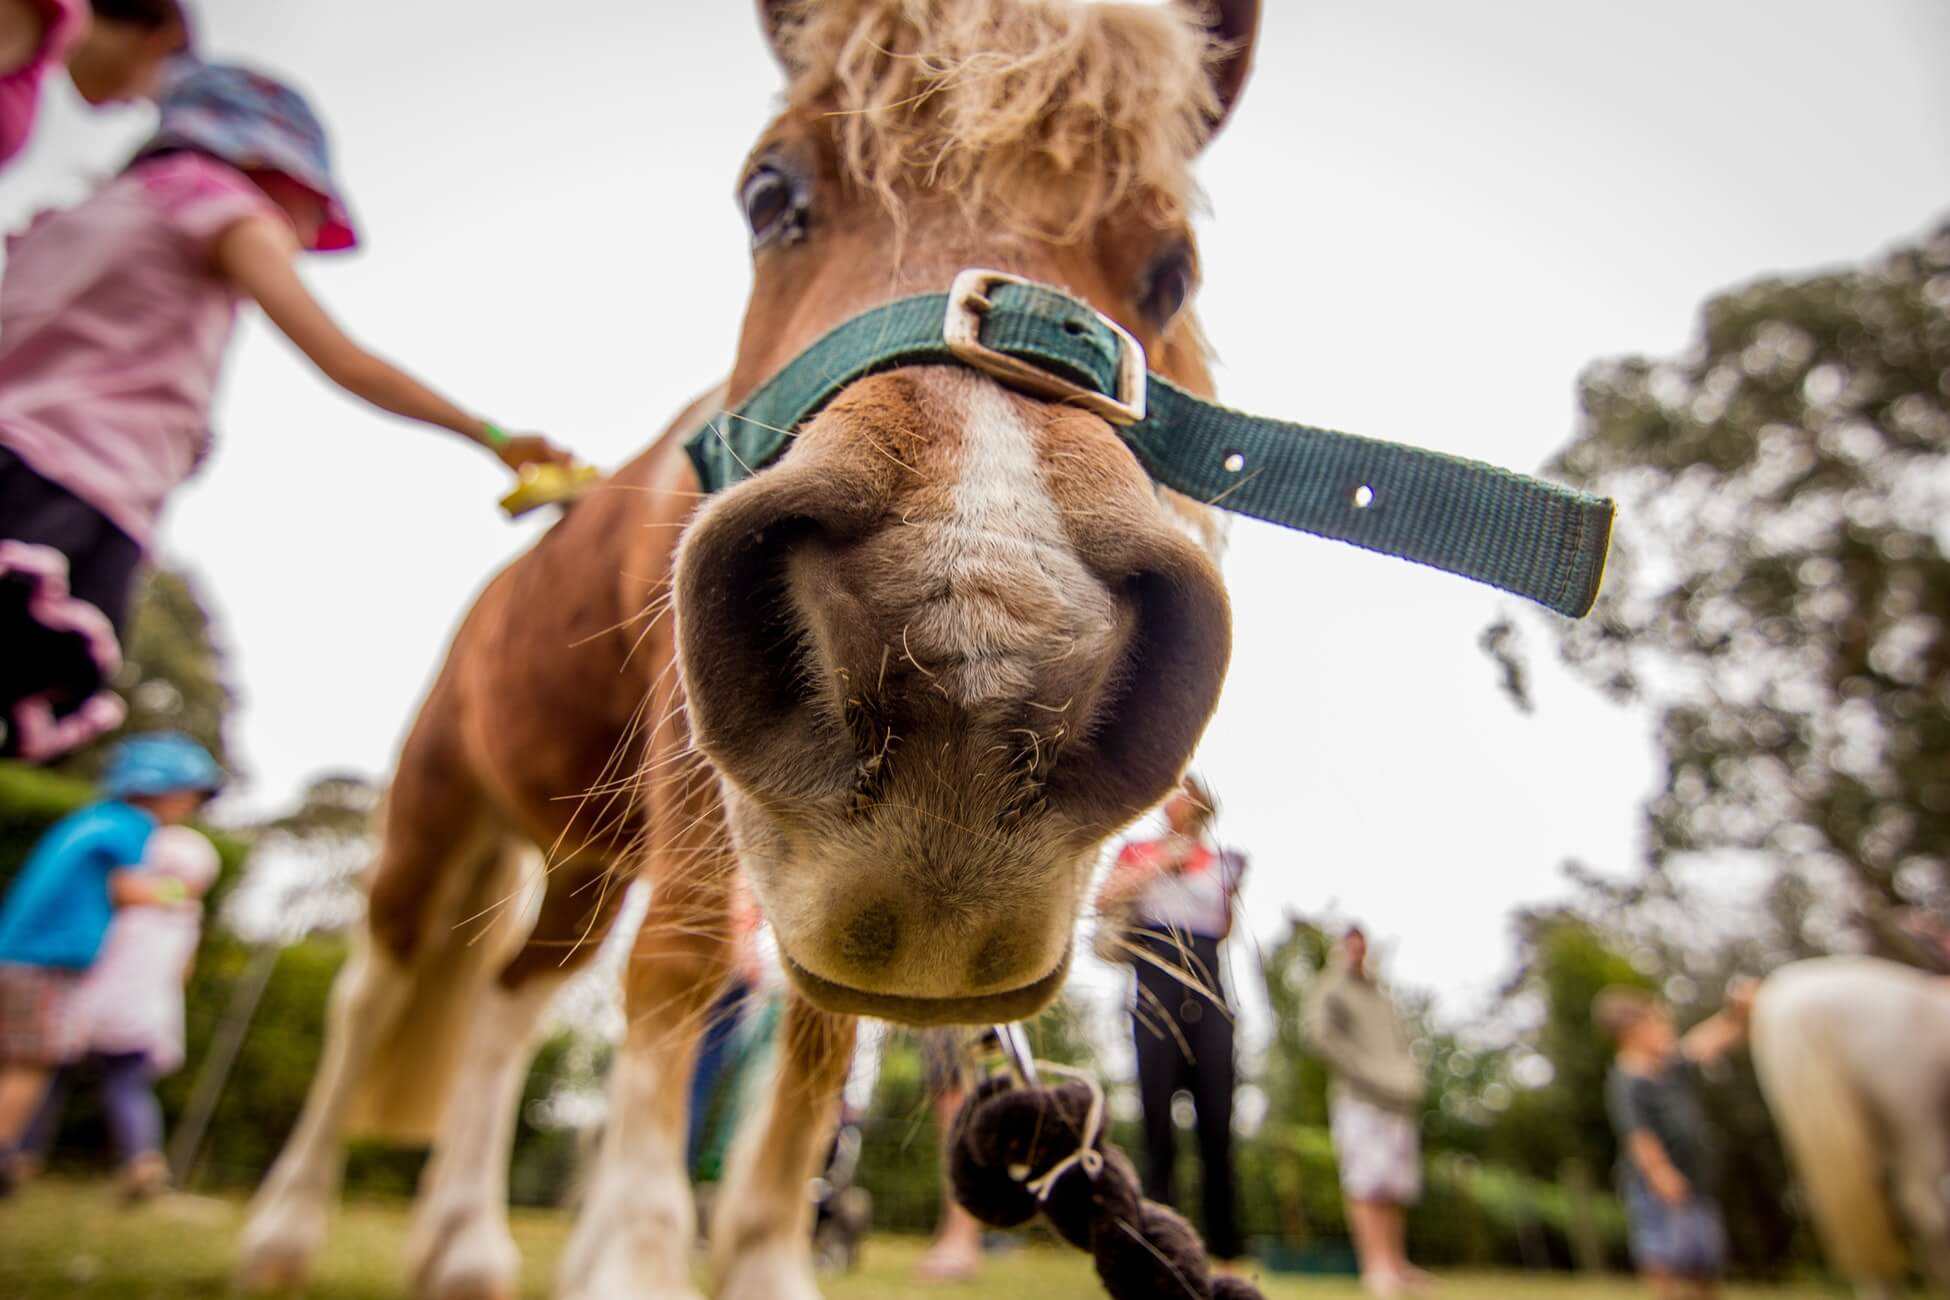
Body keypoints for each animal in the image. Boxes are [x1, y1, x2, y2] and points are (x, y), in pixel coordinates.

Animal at [235, 2, 1255, 1300]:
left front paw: (759, 1254)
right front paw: (635, 1259)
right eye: (771, 194)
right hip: (435, 803)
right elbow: (674, 969)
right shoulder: (689, 764)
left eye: (1171, 269)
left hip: (582, 859)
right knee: (372, 991)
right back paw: (284, 1229)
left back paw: (463, 1245)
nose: (975, 641)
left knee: (512, 1004)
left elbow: (820, 1041)